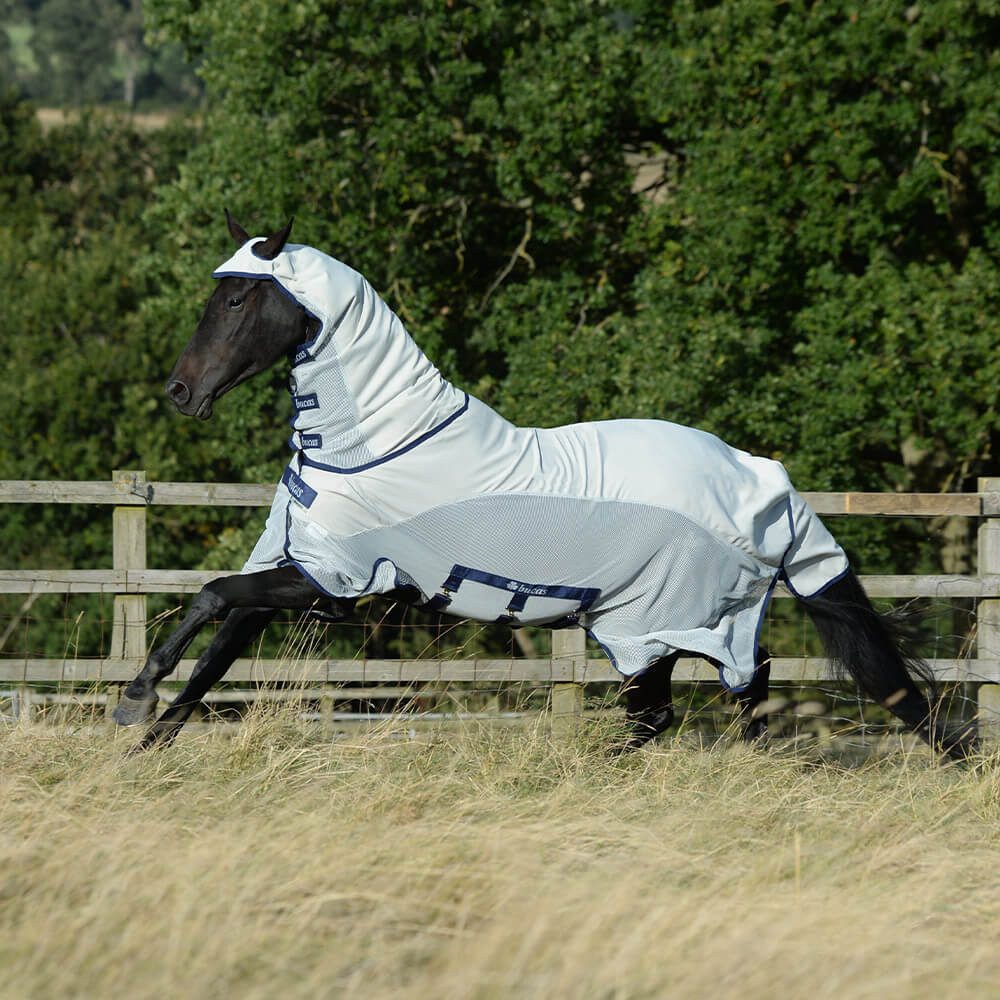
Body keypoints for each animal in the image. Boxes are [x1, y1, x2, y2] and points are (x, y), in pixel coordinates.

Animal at [114, 213, 976, 761]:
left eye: (236, 297)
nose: (180, 392)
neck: (373, 449)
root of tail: (763, 481)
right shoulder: (297, 570)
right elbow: (217, 647)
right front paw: (147, 742)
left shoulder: (333, 579)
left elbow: (209, 599)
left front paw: (134, 698)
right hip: (653, 628)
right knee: (711, 701)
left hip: (659, 621)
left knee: (705, 701)